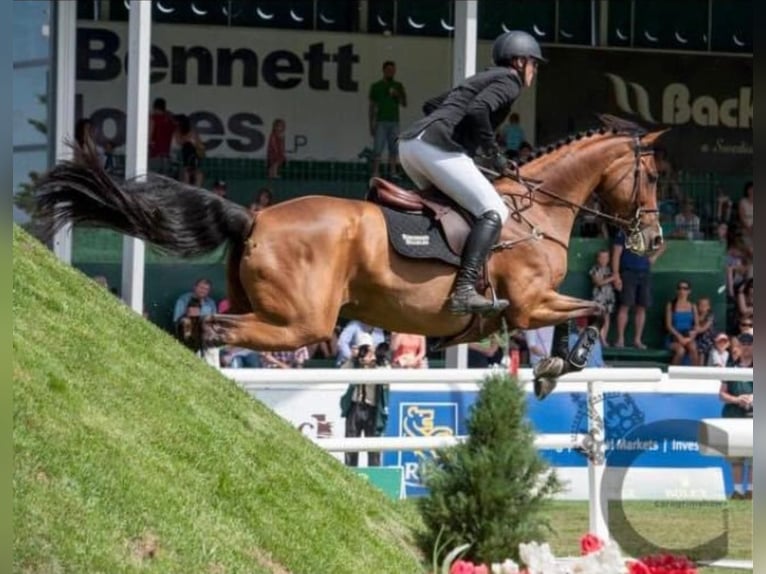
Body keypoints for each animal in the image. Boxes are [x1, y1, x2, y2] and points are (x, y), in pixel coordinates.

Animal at [33, 116, 664, 396]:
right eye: (654, 176)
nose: (654, 241)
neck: (537, 210)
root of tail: (255, 216)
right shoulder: (531, 304)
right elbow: (597, 308)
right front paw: (564, 363)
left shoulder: (530, 307)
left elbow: (589, 310)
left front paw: (552, 368)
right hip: (302, 322)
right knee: (210, 326)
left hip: (269, 308)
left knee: (197, 325)